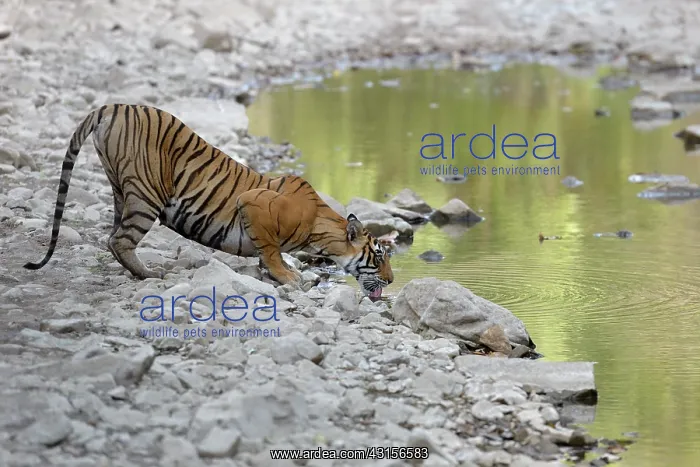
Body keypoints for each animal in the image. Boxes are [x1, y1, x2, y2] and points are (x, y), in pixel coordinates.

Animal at [24, 104, 394, 300]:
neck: (319, 229)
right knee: (120, 240)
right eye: (379, 257)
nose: (391, 281)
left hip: (120, 188)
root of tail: (114, 105)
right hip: (146, 194)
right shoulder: (253, 204)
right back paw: (149, 274)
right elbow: (271, 251)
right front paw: (289, 278)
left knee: (113, 234)